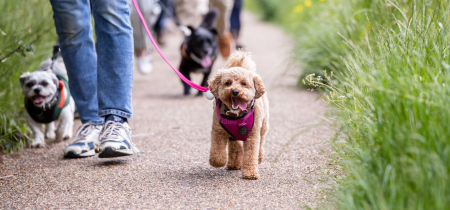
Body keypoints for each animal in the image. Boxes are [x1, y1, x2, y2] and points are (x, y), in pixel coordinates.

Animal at [208, 50, 268, 179]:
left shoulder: (252, 135)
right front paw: (218, 161)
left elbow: (251, 155)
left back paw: (259, 157)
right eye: (228, 83)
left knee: (260, 144)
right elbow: (217, 153)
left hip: (263, 126)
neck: (236, 116)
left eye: (244, 83)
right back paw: (234, 163)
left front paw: (250, 173)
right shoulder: (218, 131)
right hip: (232, 135)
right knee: (236, 146)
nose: (235, 91)